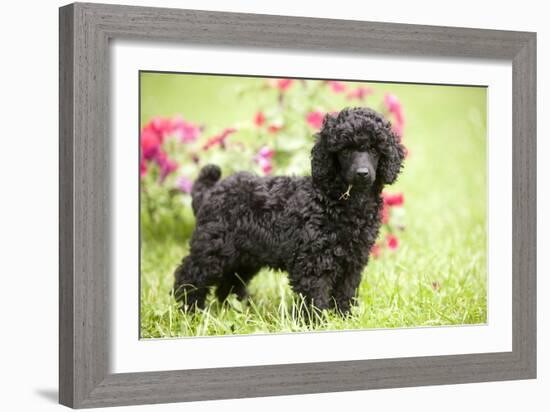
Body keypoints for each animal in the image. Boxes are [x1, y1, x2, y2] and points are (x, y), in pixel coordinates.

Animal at [175, 108, 408, 314]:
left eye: (375, 150)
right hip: (213, 247)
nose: (362, 173)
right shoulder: (312, 261)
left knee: (230, 282)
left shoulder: (353, 260)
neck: (339, 201)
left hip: (245, 255)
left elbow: (345, 292)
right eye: (345, 150)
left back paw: (239, 308)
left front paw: (344, 317)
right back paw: (190, 310)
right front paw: (318, 322)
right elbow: (315, 296)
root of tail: (210, 191)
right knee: (189, 274)